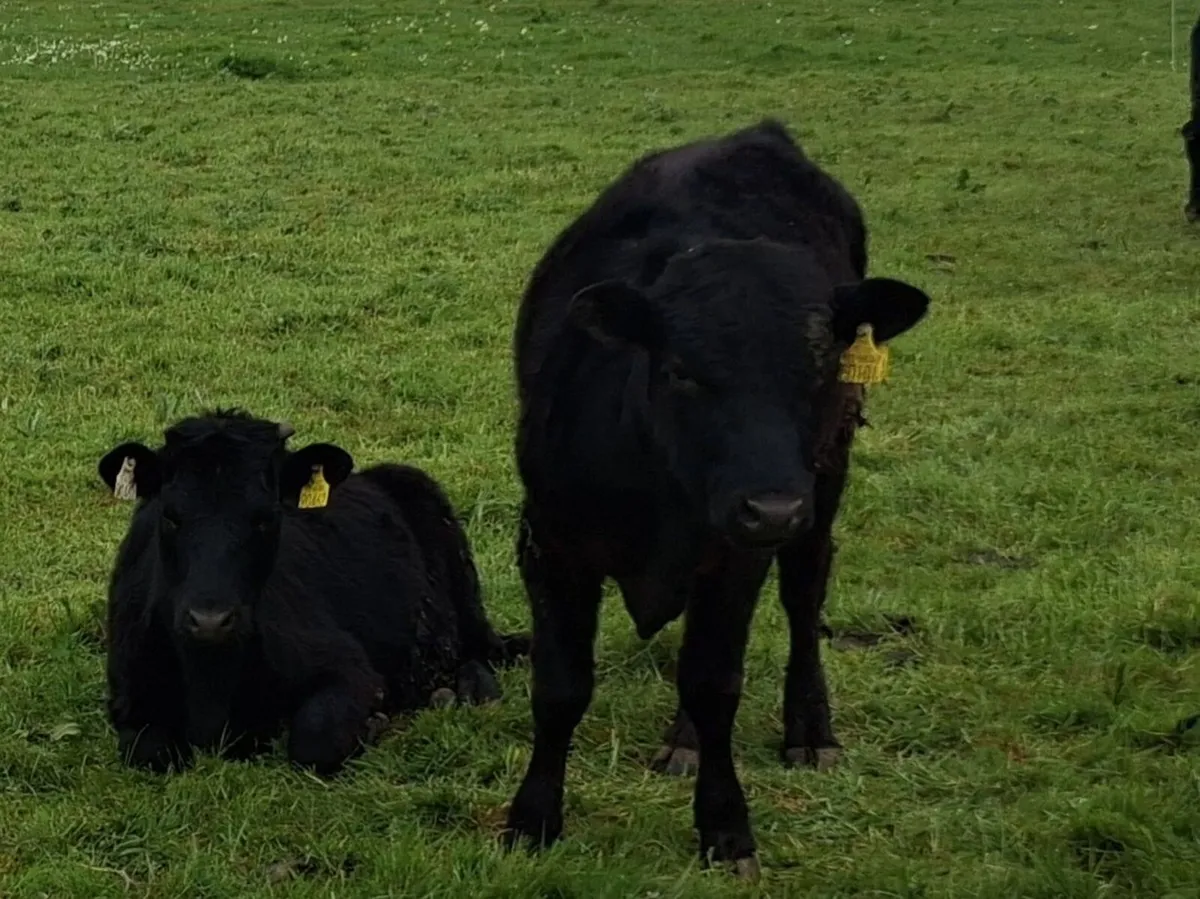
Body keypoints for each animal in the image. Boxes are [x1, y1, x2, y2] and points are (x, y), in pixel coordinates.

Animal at [98, 409, 529, 776]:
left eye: (266, 518)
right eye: (170, 516)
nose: (210, 620)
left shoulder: (351, 669)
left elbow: (314, 740)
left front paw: (374, 724)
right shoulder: (127, 695)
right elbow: (150, 751)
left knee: (481, 651)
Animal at [501, 120, 931, 874]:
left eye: (822, 367)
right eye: (680, 370)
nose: (772, 508)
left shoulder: (737, 557)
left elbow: (714, 684)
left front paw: (726, 828)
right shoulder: (550, 542)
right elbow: (560, 685)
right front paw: (533, 819)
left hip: (824, 484)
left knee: (803, 598)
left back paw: (809, 729)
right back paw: (684, 742)